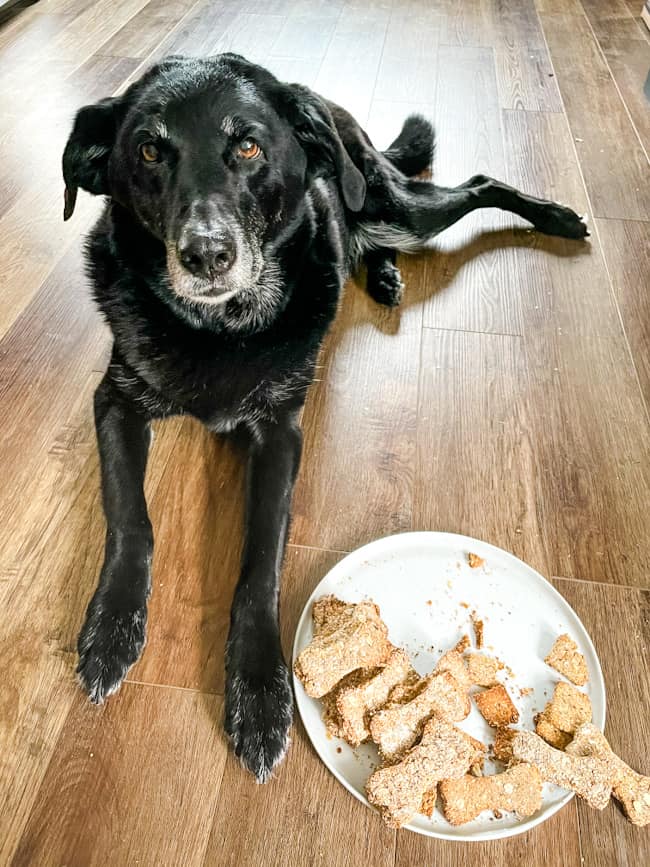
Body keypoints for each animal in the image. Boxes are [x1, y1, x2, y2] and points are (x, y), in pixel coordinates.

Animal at [64, 54, 588, 788]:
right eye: (147, 150)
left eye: (247, 146)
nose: (206, 254)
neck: (217, 330)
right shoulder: (115, 399)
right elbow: (128, 517)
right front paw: (111, 628)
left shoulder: (279, 431)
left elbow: (260, 558)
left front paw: (258, 689)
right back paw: (384, 276)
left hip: (395, 206)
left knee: (477, 184)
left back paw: (555, 218)